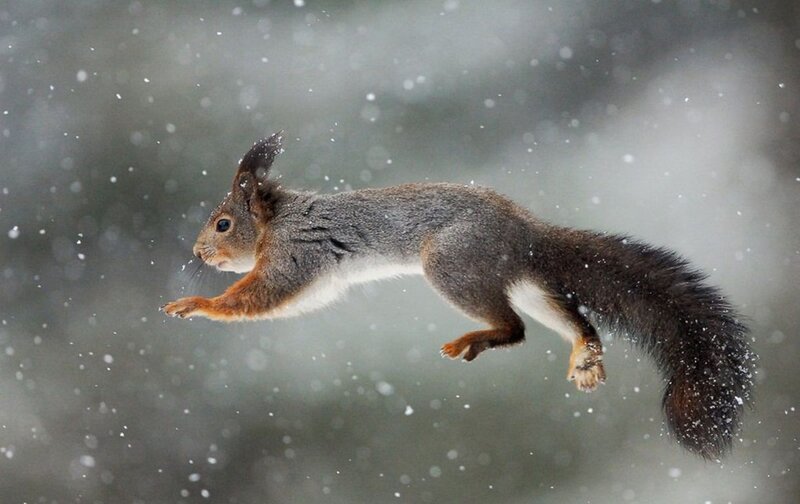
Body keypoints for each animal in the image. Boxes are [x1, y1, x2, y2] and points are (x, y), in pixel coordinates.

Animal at [163, 132, 755, 459]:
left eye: (222, 224)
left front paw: (196, 305)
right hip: (523, 282)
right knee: (569, 319)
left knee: (514, 328)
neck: (278, 220)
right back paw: (584, 354)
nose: (197, 253)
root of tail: (527, 232)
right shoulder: (321, 277)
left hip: (452, 266)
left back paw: (477, 339)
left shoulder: (295, 257)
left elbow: (261, 295)